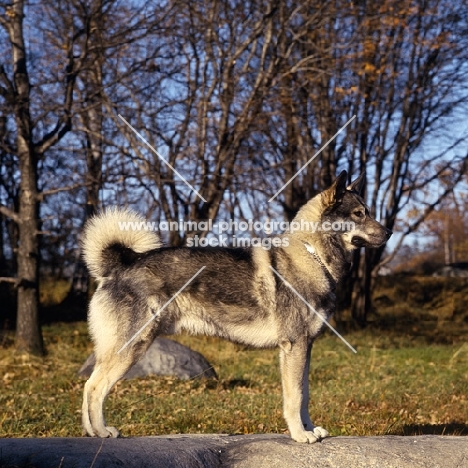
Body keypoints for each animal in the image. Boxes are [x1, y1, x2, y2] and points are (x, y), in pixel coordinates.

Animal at [80, 171, 392, 442]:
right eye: (359, 214)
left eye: (368, 211)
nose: (389, 232)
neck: (311, 254)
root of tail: (120, 265)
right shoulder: (294, 346)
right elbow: (295, 397)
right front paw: (300, 435)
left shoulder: (305, 348)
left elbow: (304, 395)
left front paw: (309, 428)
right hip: (130, 347)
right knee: (95, 387)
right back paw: (103, 431)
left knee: (87, 386)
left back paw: (91, 432)